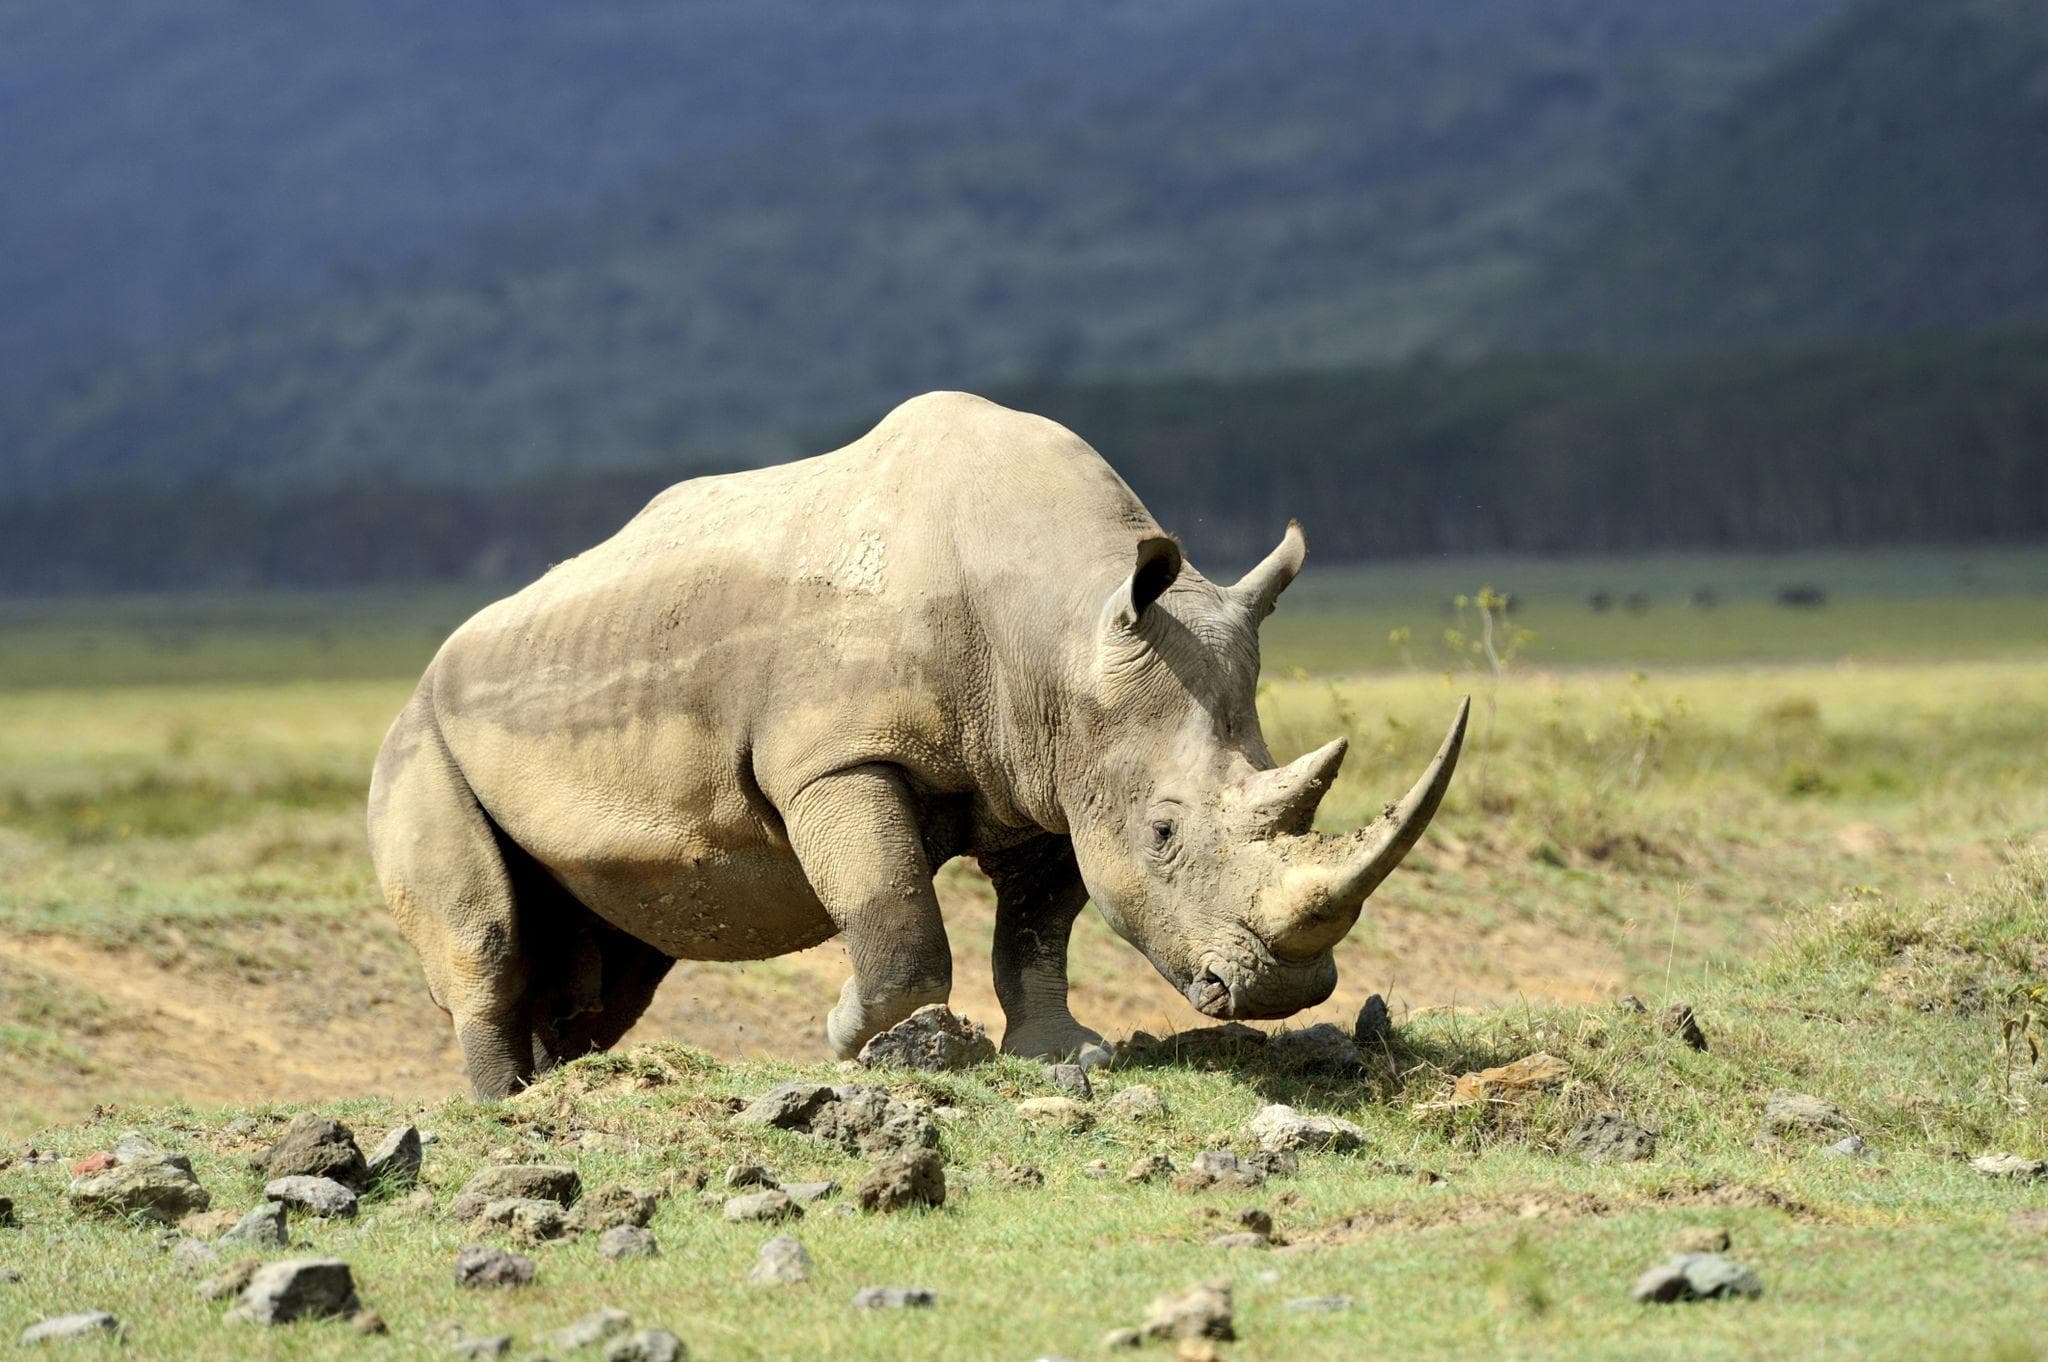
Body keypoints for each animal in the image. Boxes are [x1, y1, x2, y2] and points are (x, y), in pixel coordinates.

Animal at [369, 391, 1466, 1097]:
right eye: (1162, 835)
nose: (1283, 992)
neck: (1064, 623)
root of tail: (434, 664)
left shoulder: (1051, 774)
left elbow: (1037, 929)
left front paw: (1065, 1053)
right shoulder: (838, 758)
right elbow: (894, 913)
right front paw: (865, 1040)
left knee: (610, 964)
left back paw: (559, 1083)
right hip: (419, 737)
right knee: (489, 932)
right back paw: (505, 1109)